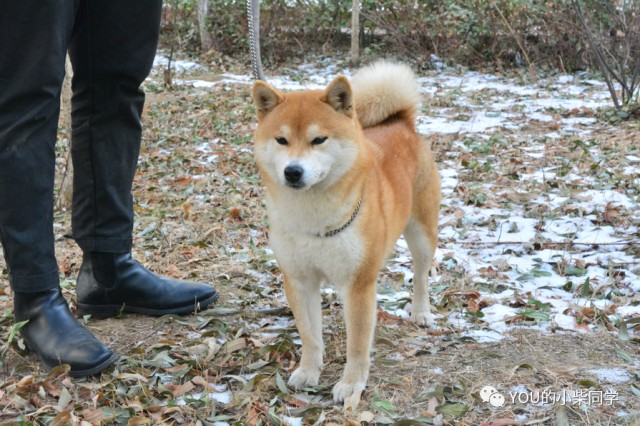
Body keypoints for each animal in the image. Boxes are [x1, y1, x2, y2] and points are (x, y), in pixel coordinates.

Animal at [250, 60, 440, 402]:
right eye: (281, 140)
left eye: (319, 140)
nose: (293, 171)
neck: (314, 218)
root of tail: (401, 122)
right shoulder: (299, 280)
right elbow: (310, 336)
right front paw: (308, 371)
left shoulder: (358, 284)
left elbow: (357, 344)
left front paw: (351, 384)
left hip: (421, 234)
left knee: (420, 275)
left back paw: (421, 312)